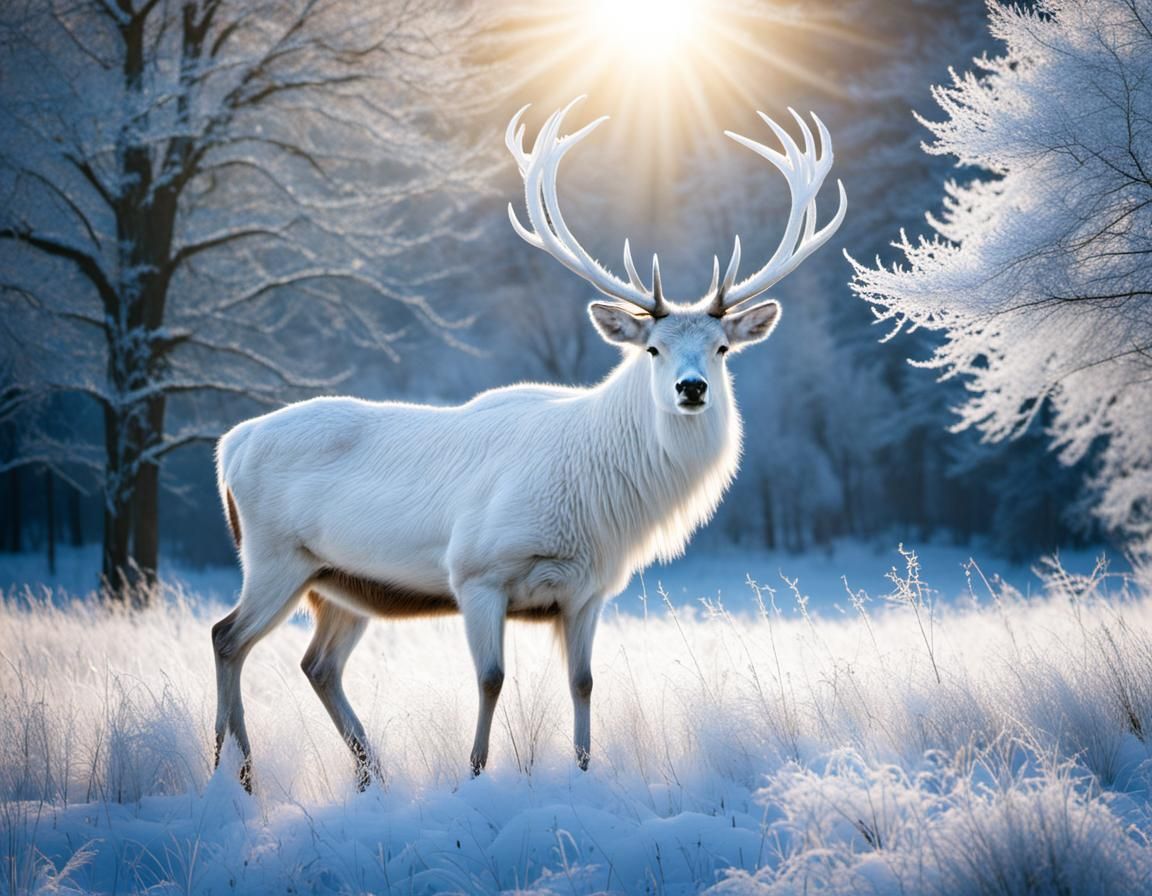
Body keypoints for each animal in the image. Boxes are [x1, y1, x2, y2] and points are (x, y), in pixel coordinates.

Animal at [211, 97, 846, 791]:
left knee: (315, 663)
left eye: (723, 348)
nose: (692, 387)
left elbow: (584, 683)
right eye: (652, 349)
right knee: (227, 636)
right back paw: (233, 770)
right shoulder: (476, 572)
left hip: (339, 582)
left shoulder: (588, 591)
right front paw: (476, 772)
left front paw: (584, 769)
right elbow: (491, 679)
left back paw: (364, 770)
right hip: (274, 555)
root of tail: (230, 444)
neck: (597, 501)